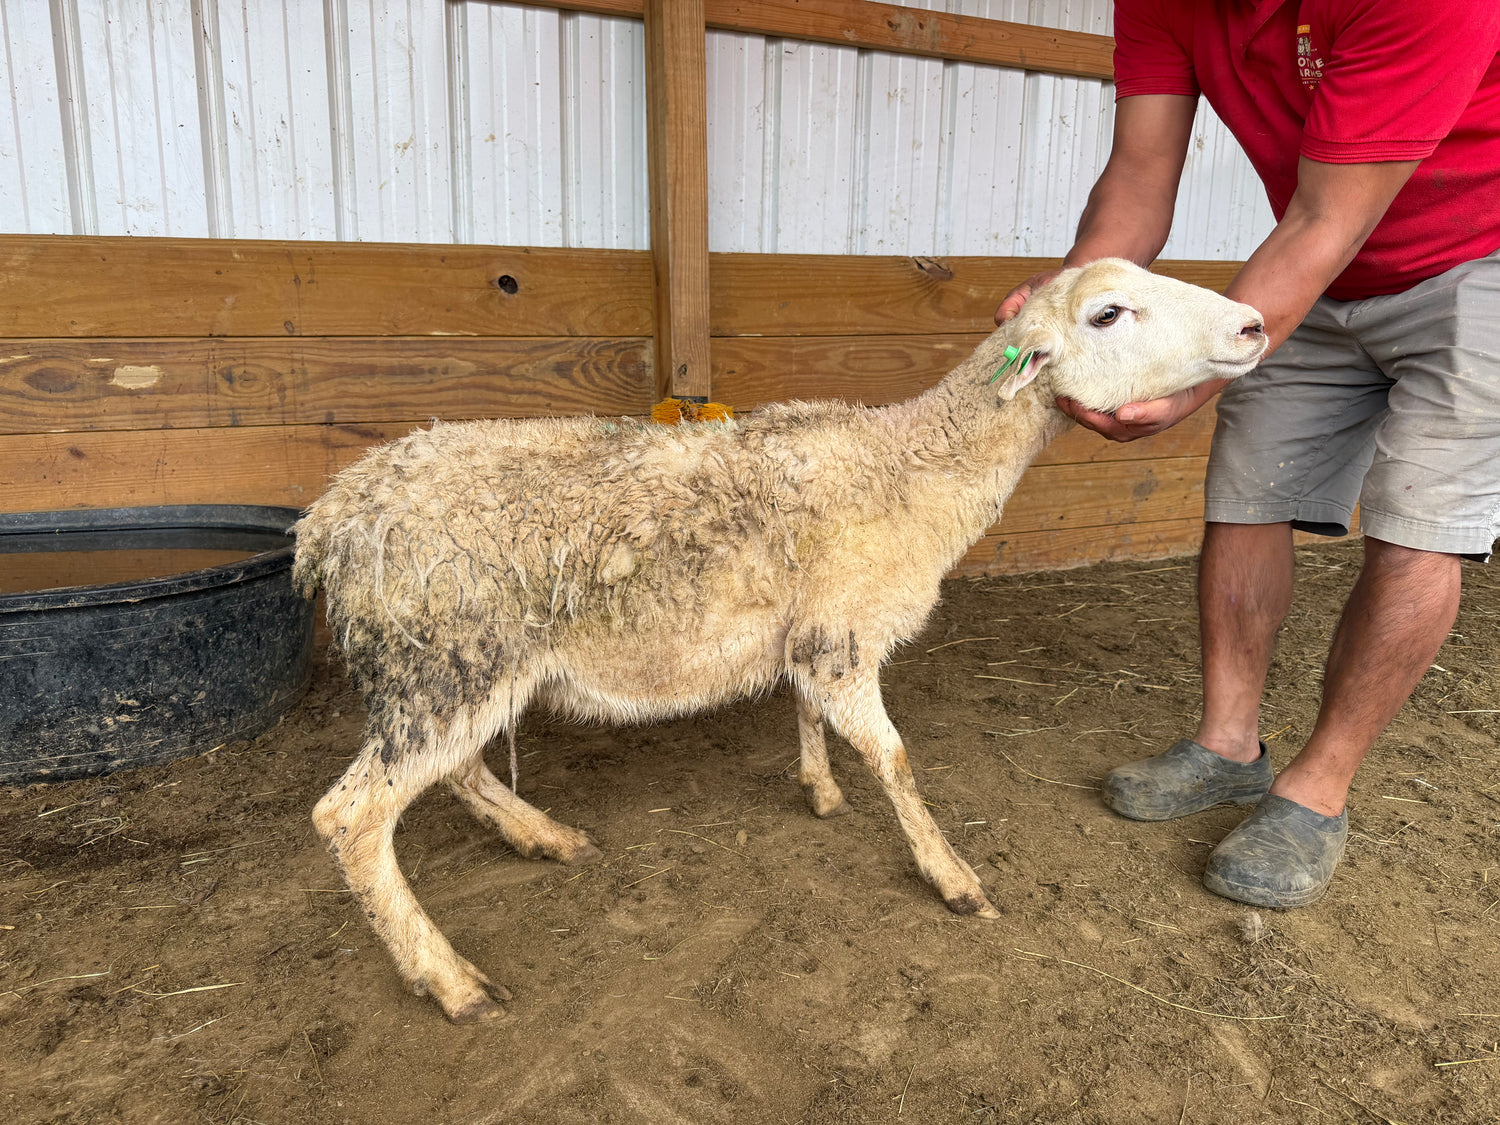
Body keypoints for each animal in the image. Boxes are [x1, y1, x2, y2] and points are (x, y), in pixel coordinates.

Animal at [293, 259, 1267, 1023]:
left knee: (451, 770)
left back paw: (543, 836)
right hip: (447, 659)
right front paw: (950, 874)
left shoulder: (813, 632)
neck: (910, 465)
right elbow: (896, 759)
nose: (1256, 322)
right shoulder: (844, 634)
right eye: (1108, 313)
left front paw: (819, 788)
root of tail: (330, 519)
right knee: (350, 817)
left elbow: (806, 709)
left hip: (450, 672)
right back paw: (447, 976)